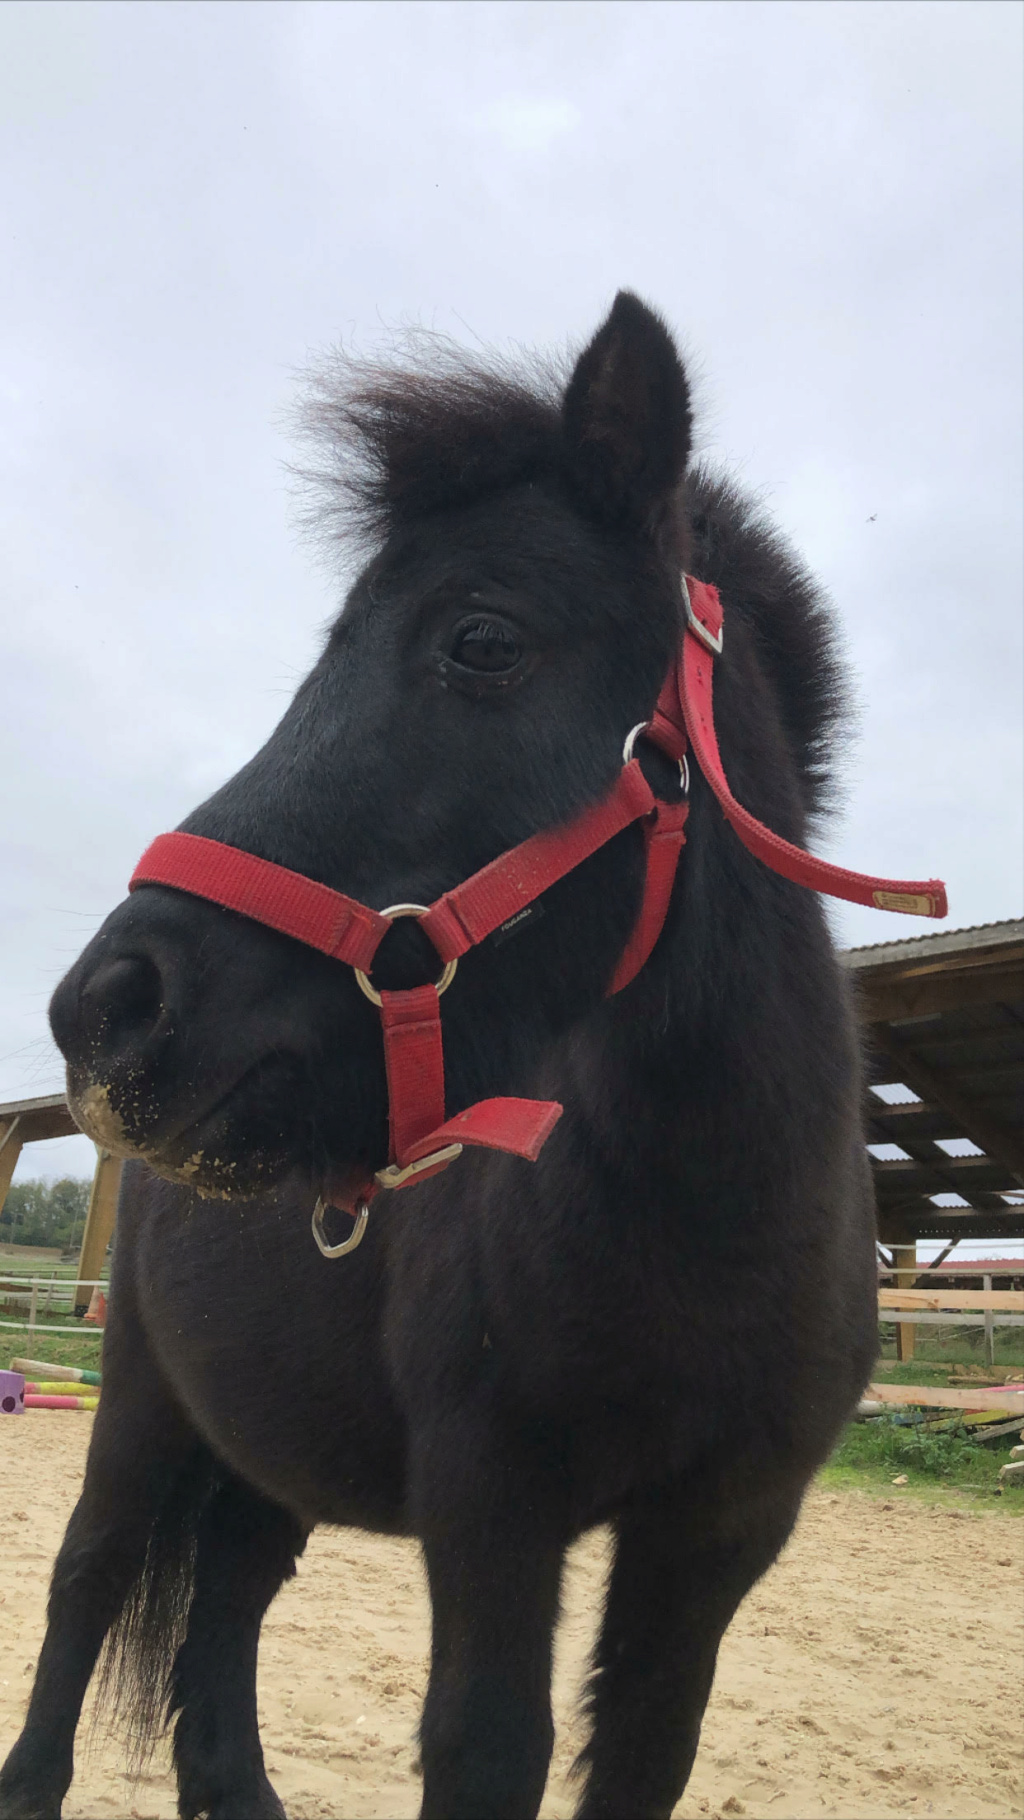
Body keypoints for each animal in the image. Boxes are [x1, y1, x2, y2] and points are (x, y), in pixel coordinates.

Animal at [4, 291, 876, 1812]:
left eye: (480, 639)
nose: (107, 1007)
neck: (710, 1225)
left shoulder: (716, 1541)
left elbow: (642, 1753)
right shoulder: (491, 1509)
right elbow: (484, 1746)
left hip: (270, 1452)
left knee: (229, 1599)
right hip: (143, 1409)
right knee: (88, 1579)